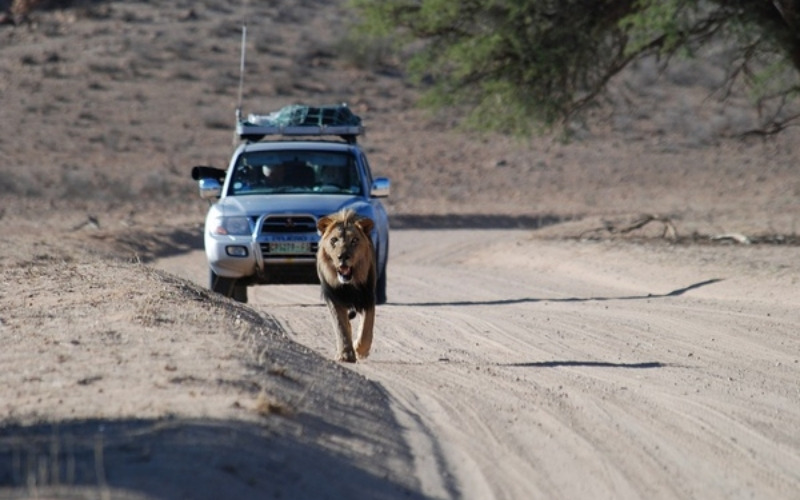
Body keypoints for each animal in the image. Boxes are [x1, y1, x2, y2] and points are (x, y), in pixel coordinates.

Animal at [318, 209, 376, 362]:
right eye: (334, 240)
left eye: (354, 240)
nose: (342, 257)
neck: (349, 284)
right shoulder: (334, 298)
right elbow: (341, 326)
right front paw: (345, 354)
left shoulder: (367, 296)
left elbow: (367, 327)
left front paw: (360, 349)